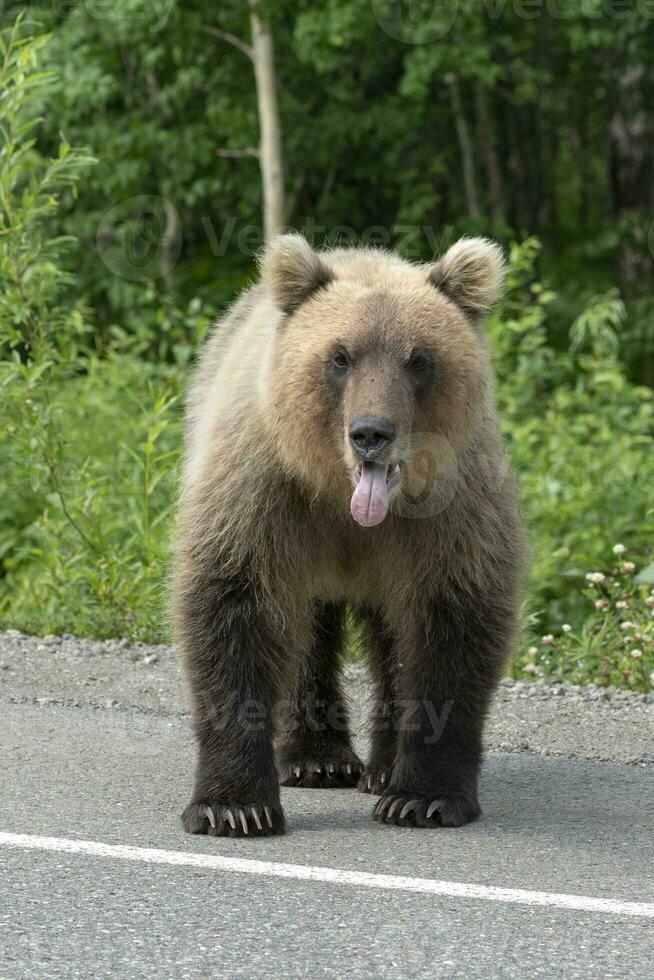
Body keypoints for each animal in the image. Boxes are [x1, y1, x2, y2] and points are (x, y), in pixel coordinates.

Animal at [176, 234, 528, 840]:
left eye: (419, 358)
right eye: (340, 356)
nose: (371, 433)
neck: (347, 502)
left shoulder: (452, 511)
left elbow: (451, 623)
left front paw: (423, 797)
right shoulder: (262, 488)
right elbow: (235, 603)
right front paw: (235, 806)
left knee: (391, 636)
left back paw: (383, 771)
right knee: (305, 627)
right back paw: (316, 759)